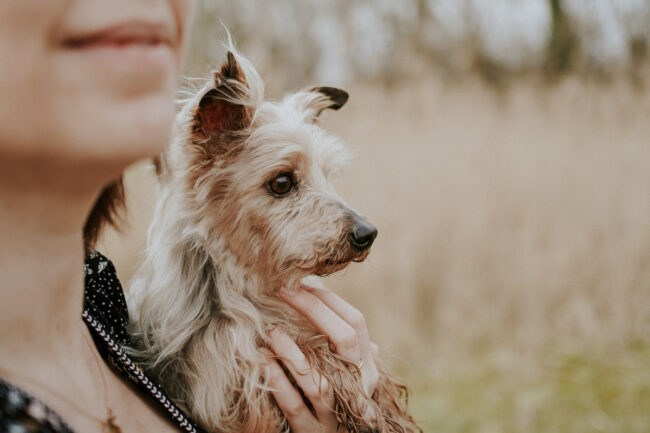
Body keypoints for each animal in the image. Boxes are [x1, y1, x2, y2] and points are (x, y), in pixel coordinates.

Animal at [127, 47, 420, 432]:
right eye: (281, 182)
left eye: (328, 175)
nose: (367, 234)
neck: (250, 287)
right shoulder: (228, 373)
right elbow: (314, 353)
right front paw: (364, 404)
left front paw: (383, 403)